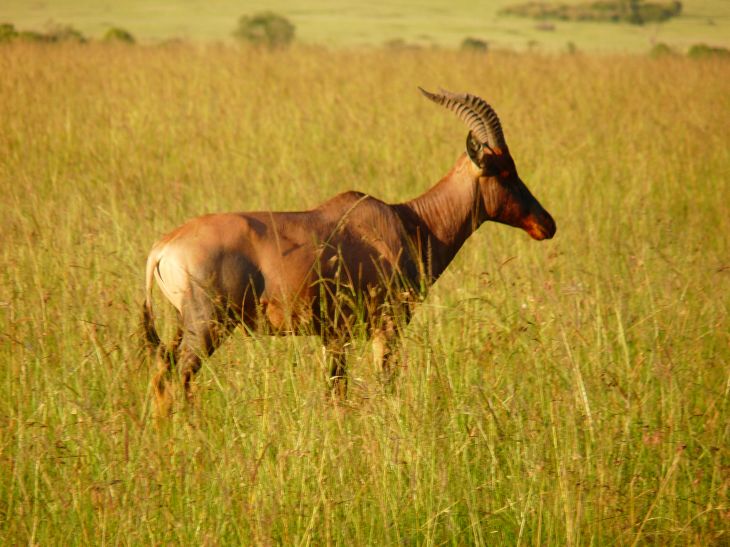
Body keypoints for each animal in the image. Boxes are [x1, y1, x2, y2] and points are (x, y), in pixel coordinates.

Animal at [142, 88, 556, 411]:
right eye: (504, 171)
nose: (547, 224)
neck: (407, 222)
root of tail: (163, 247)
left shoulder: (334, 334)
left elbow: (336, 390)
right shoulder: (386, 325)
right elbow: (383, 383)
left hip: (182, 321)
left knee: (162, 370)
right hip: (207, 325)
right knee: (181, 375)